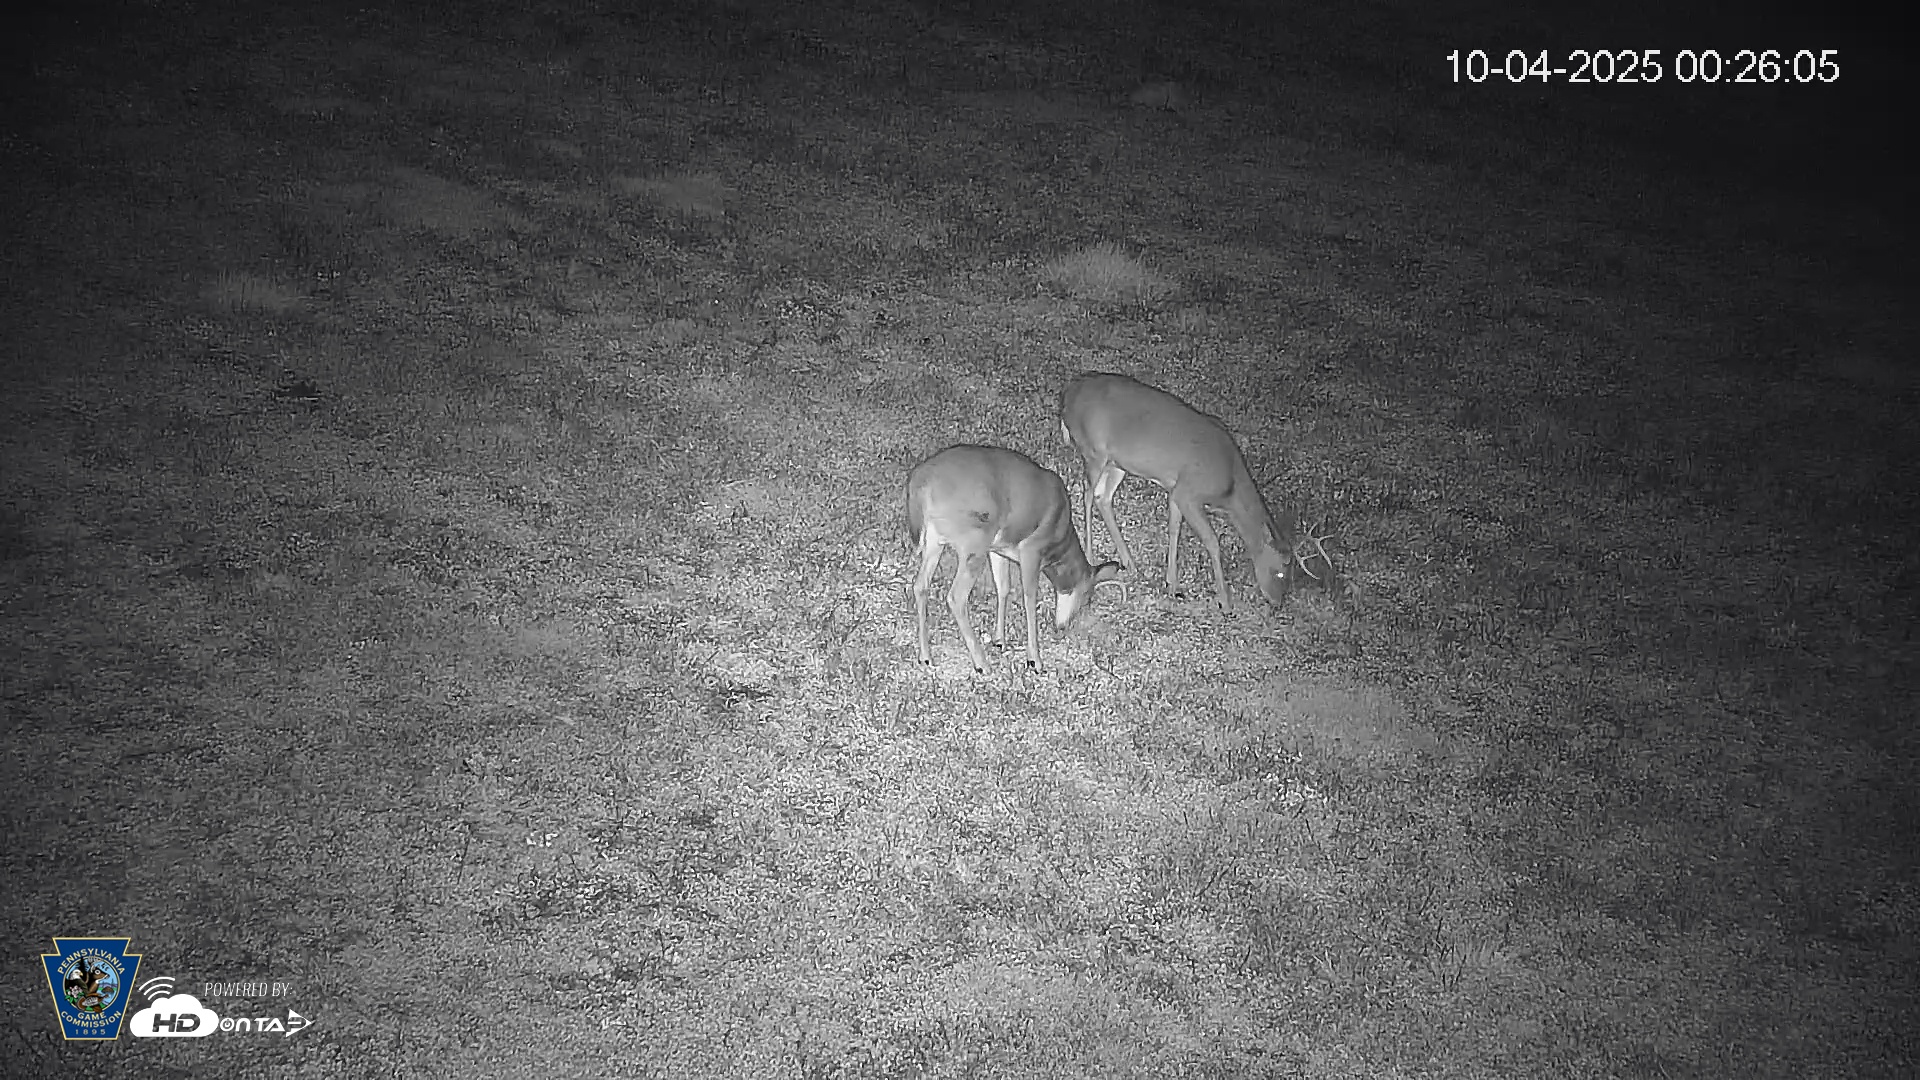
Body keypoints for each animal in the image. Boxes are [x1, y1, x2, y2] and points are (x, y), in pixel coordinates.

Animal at [906, 444, 1125, 672]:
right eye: (1087, 598)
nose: (1062, 627)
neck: (1059, 538)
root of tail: (920, 483)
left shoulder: (998, 548)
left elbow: (1003, 587)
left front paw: (999, 640)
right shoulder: (1031, 549)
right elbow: (1029, 598)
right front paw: (1034, 660)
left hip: (935, 539)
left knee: (920, 585)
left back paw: (926, 657)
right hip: (975, 540)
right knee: (956, 597)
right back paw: (982, 663)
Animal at [1060, 373, 1325, 611]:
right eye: (1281, 571)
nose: (1277, 603)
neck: (1229, 484)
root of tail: (1068, 395)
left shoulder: (1176, 489)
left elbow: (1174, 530)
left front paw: (1172, 584)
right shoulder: (1189, 492)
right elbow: (1212, 541)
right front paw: (1225, 602)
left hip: (1117, 463)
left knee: (1103, 497)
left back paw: (1129, 562)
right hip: (1094, 450)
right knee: (1087, 494)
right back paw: (1092, 556)